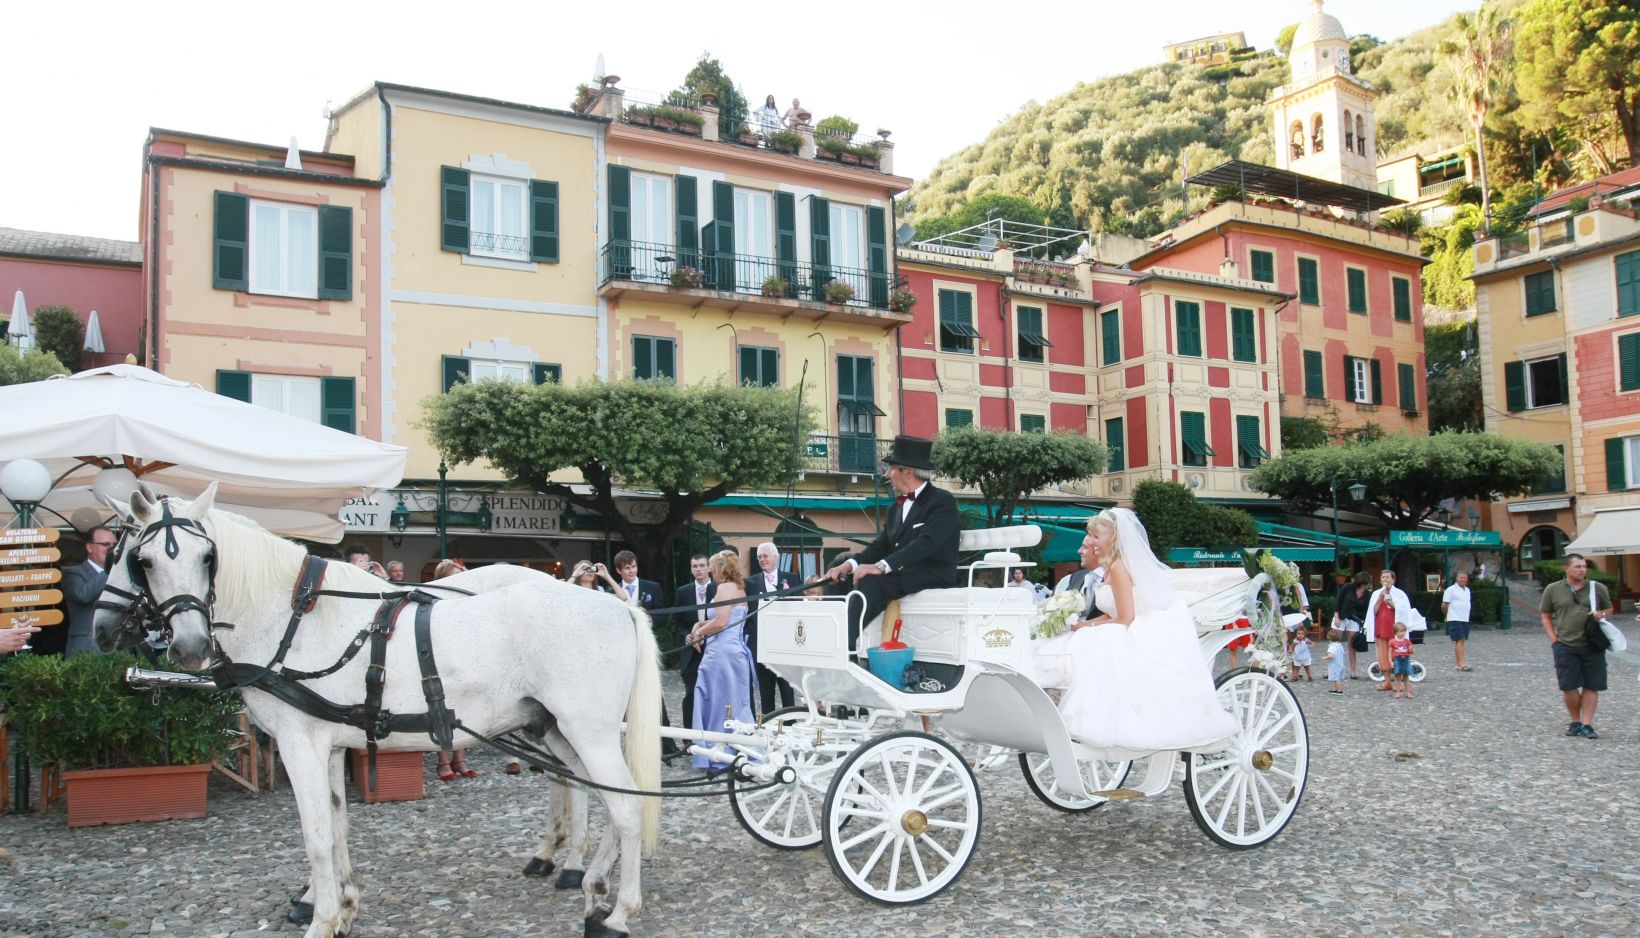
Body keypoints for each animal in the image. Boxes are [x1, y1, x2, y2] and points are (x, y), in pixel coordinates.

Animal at [93, 488, 659, 938]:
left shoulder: (299, 743)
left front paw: (321, 919)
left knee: (625, 807)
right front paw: (342, 907)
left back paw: (618, 912)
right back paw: (591, 884)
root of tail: (618, 606)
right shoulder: (329, 745)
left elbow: (316, 836)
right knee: (602, 795)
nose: (189, 647)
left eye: (207, 556)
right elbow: (338, 823)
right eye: (143, 559)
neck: (294, 616)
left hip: (588, 730)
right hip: (560, 729)